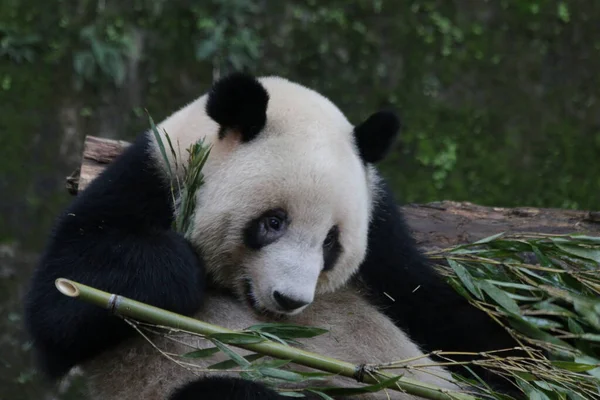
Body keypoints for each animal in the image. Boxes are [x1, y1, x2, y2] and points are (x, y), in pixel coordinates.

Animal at [25, 73, 516, 398]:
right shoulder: (152, 176)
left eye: (331, 241)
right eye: (273, 222)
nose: (290, 299)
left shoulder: (383, 237)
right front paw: (179, 268)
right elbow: (61, 302)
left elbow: (449, 317)